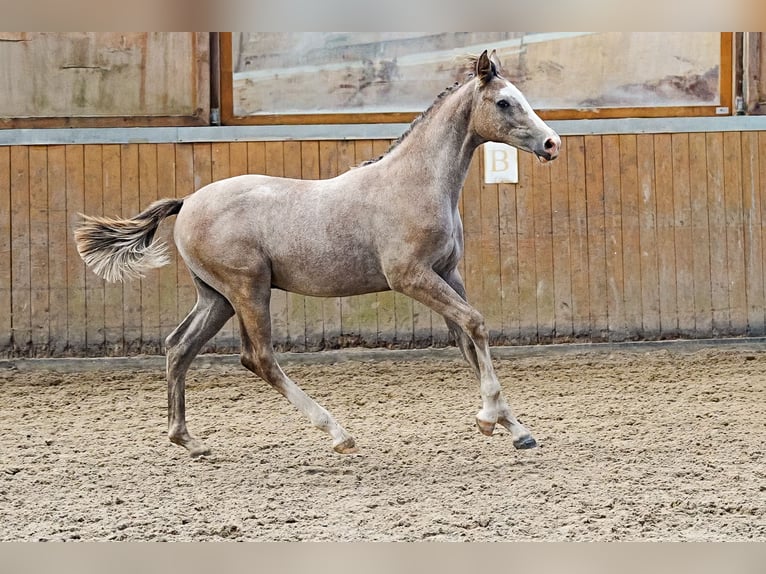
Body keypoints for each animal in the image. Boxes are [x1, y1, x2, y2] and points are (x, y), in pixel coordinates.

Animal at [74, 50, 561, 457]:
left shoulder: (446, 273)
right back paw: (338, 433)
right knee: (258, 357)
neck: (414, 183)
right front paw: (488, 418)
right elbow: (475, 323)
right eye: (504, 102)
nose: (551, 144)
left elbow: (467, 340)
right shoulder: (410, 277)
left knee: (179, 347)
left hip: (216, 297)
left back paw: (188, 441)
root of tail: (188, 201)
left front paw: (517, 430)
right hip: (249, 289)